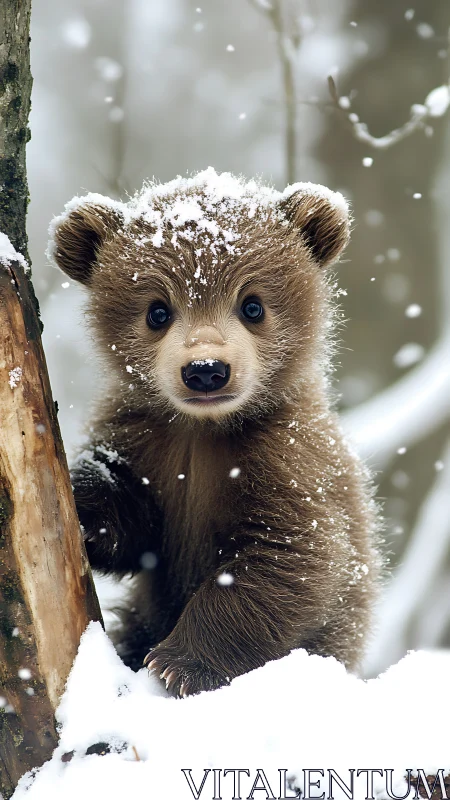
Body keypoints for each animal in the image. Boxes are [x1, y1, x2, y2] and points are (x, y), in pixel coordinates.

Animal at [48, 167, 380, 698]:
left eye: (252, 305)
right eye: (157, 311)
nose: (206, 370)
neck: (203, 432)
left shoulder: (287, 461)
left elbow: (287, 561)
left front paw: (180, 663)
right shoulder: (147, 440)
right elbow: (133, 520)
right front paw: (82, 504)